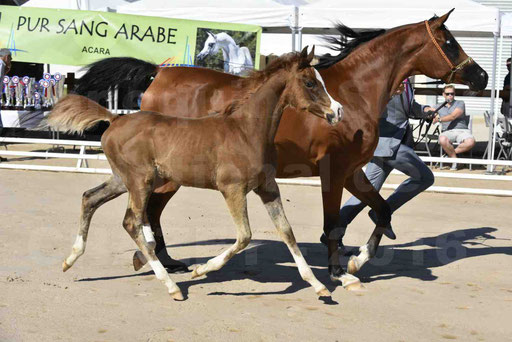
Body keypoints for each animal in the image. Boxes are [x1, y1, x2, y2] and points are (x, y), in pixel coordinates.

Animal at [50, 48, 344, 300]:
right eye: (310, 83)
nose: (338, 111)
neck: (246, 130)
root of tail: (115, 118)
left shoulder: (268, 187)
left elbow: (286, 231)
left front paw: (318, 286)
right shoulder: (232, 189)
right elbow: (244, 236)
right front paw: (201, 270)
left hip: (124, 180)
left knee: (90, 198)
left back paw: (70, 259)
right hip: (140, 181)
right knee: (132, 222)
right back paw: (172, 286)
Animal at [75, 10, 488, 286]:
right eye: (449, 42)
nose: (482, 76)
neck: (351, 93)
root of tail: (158, 72)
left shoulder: (353, 172)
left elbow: (382, 210)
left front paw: (357, 262)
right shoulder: (333, 172)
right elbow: (333, 224)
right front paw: (338, 271)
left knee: (150, 211)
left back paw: (165, 261)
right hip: (165, 175)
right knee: (149, 212)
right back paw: (157, 261)